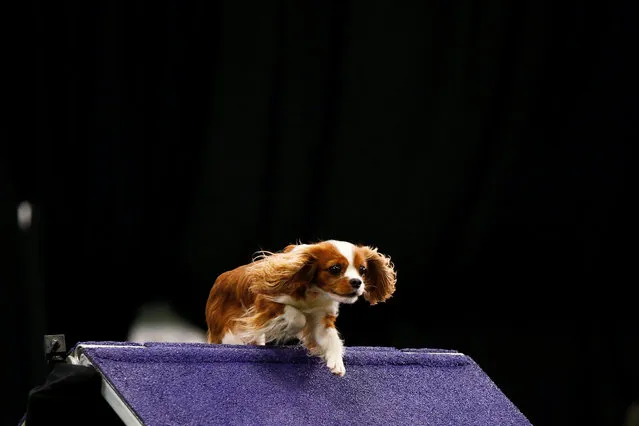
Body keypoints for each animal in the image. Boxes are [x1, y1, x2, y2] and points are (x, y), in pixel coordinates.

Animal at [206, 240, 396, 376]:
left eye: (362, 270)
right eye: (335, 268)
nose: (357, 282)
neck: (314, 291)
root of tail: (219, 281)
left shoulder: (322, 318)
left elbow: (331, 338)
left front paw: (336, 361)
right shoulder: (267, 303)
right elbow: (297, 315)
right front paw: (290, 328)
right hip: (228, 333)